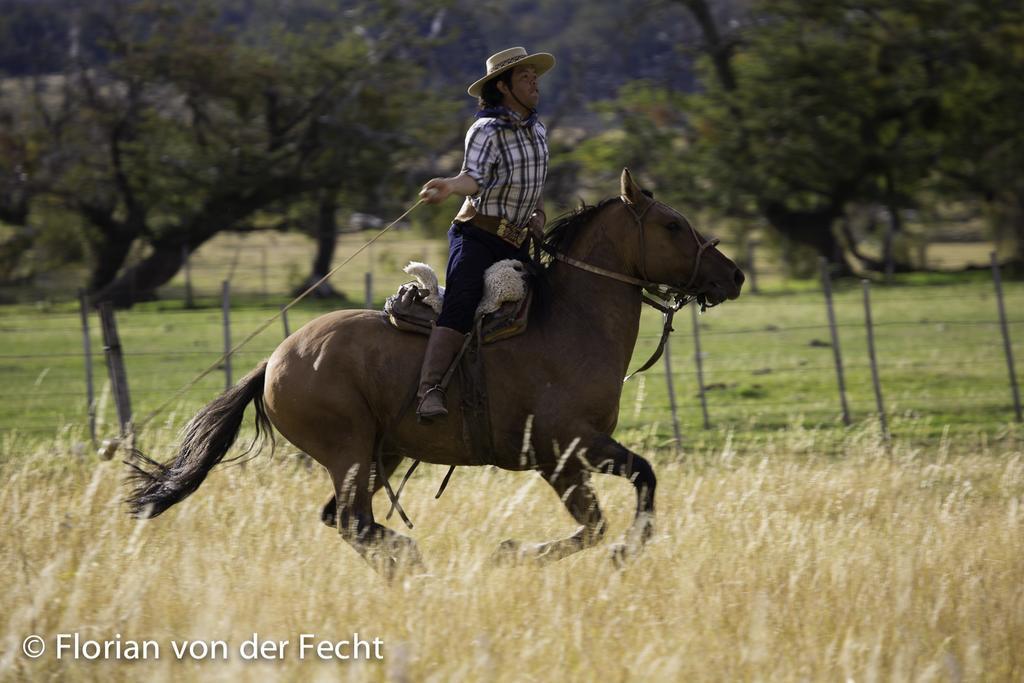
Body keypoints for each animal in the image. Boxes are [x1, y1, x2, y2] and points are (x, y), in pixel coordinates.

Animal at [125, 171, 745, 577]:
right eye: (672, 224)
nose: (733, 275)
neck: (569, 322)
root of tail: (277, 358)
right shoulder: (562, 451)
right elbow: (611, 509)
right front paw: (533, 553)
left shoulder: (577, 453)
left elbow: (629, 493)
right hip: (350, 452)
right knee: (352, 520)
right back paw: (413, 563)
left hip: (382, 453)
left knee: (343, 520)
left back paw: (405, 565)